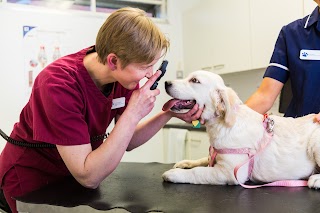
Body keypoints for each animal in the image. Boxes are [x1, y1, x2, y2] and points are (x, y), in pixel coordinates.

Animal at [162, 70, 320, 189]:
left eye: (194, 80)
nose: (166, 83)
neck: (222, 125)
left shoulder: (228, 172)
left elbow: (198, 172)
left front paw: (174, 174)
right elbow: (203, 160)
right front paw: (185, 163)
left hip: (315, 142)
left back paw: (316, 180)